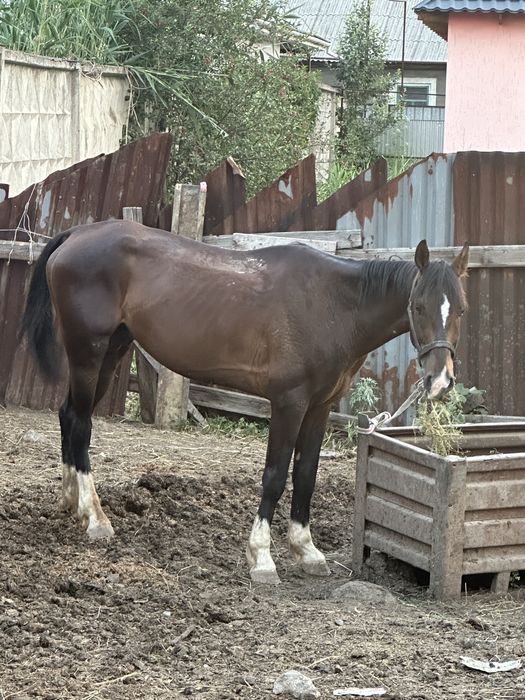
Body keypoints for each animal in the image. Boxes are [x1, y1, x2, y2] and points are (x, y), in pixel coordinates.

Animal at [21, 220, 469, 584]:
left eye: (461, 308)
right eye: (418, 306)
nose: (440, 381)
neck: (330, 306)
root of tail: (76, 234)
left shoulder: (320, 407)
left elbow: (306, 473)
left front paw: (306, 550)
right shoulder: (288, 404)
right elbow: (275, 475)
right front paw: (262, 557)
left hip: (112, 351)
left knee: (69, 416)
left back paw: (72, 504)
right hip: (88, 352)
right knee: (81, 424)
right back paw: (96, 519)